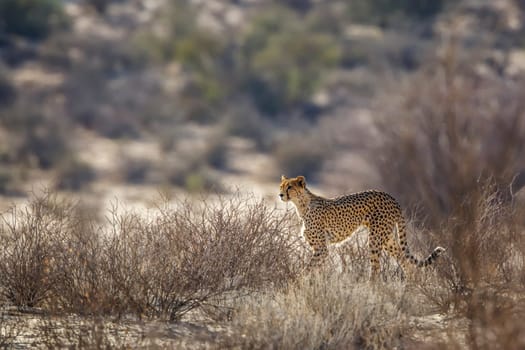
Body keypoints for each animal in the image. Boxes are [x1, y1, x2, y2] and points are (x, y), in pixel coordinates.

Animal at [276, 175, 444, 278]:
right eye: (281, 186)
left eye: (289, 187)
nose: (280, 195)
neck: (302, 205)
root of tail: (390, 196)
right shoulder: (320, 249)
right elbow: (315, 270)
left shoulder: (321, 248)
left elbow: (308, 269)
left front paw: (298, 283)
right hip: (387, 238)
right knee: (403, 259)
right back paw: (411, 286)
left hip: (375, 238)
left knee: (376, 268)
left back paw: (371, 291)